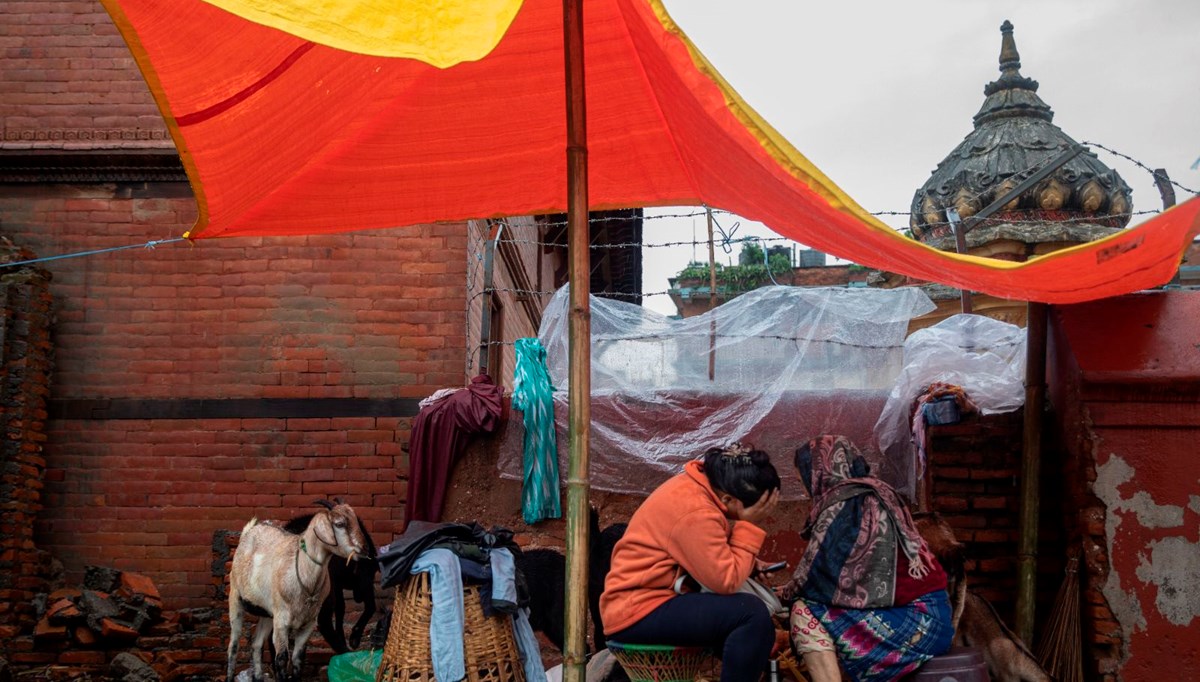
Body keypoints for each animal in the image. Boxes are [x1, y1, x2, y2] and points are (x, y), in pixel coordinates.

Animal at [225, 501, 364, 682]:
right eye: (339, 524)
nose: (362, 550)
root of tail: (248, 532)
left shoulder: (308, 623)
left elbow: (298, 659)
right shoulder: (282, 622)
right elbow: (281, 658)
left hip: (267, 613)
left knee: (256, 644)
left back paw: (258, 677)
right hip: (235, 598)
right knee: (233, 646)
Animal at [279, 504, 376, 653]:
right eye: (371, 571)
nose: (359, 597)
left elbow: (341, 608)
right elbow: (369, 605)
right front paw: (353, 639)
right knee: (324, 620)